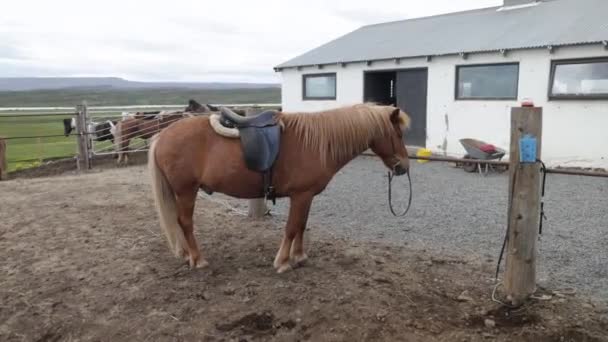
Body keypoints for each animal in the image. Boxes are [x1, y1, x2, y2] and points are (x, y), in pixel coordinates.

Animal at [148, 103, 408, 272]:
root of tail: (162, 136)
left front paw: (300, 256)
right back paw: (198, 259)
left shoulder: (307, 196)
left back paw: (186, 255)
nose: (403, 166)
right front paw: (283, 262)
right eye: (397, 133)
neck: (318, 143)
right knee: (185, 223)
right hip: (186, 191)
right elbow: (292, 228)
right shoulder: (301, 195)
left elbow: (301, 225)